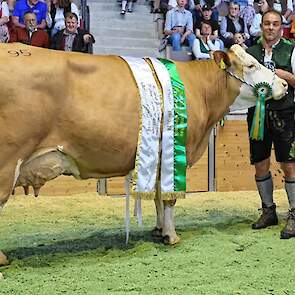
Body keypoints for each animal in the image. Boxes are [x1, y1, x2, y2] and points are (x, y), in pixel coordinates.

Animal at [0, 42, 290, 268]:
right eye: (251, 65)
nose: (284, 83)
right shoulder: (175, 153)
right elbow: (169, 199)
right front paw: (172, 236)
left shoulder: (162, 155)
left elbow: (160, 198)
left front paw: (160, 230)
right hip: (8, 161)